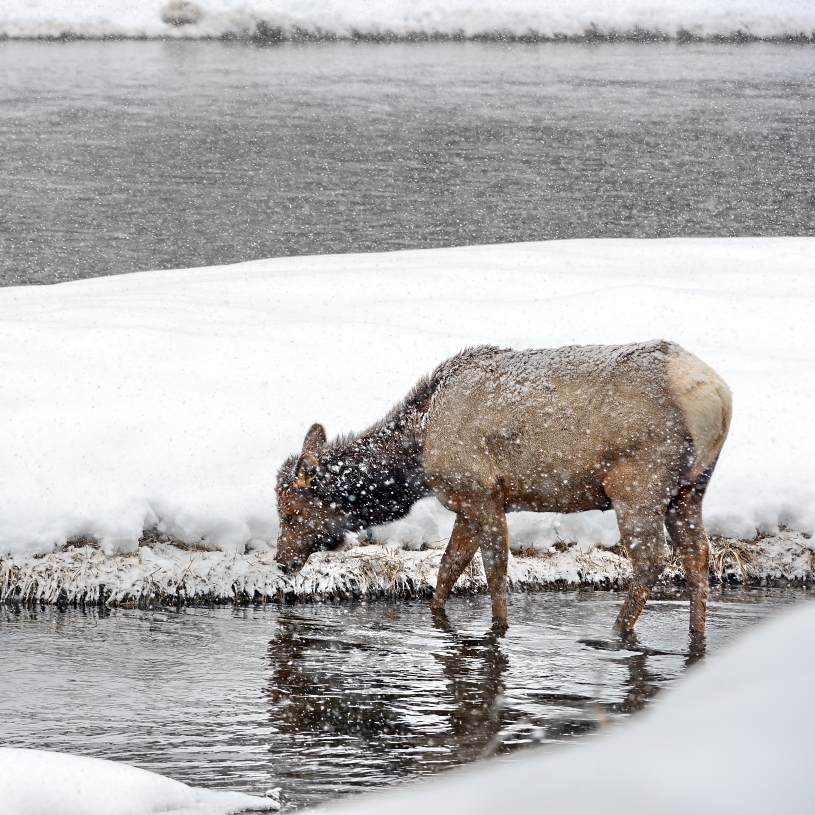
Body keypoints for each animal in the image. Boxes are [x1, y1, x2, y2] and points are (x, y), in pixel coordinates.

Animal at [275, 341, 732, 637]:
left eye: (290, 514)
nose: (282, 561)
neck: (419, 453)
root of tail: (720, 398)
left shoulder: (481, 491)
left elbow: (494, 570)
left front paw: (500, 627)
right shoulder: (465, 501)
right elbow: (448, 567)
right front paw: (437, 618)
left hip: (638, 483)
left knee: (651, 557)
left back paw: (618, 630)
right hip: (691, 487)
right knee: (697, 553)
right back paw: (696, 631)